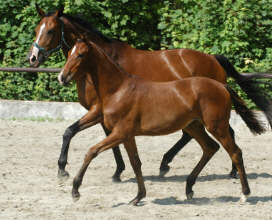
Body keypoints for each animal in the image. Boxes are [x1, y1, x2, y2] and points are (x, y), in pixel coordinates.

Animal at [28, 5, 272, 181]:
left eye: (50, 30)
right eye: (36, 30)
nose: (33, 58)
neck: (99, 64)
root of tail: (213, 58)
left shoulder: (98, 110)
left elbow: (80, 133)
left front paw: (67, 169)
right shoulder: (103, 113)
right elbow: (91, 135)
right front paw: (114, 170)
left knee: (222, 133)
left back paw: (226, 170)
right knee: (204, 134)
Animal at [59, 39, 266, 205]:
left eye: (80, 54)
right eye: (68, 53)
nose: (62, 77)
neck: (118, 90)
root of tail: (222, 86)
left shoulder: (121, 132)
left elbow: (91, 152)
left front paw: (75, 190)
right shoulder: (127, 136)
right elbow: (136, 163)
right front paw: (138, 197)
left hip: (216, 126)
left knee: (235, 152)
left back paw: (244, 194)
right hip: (194, 126)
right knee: (210, 148)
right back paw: (188, 188)